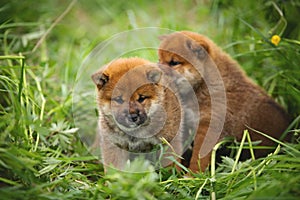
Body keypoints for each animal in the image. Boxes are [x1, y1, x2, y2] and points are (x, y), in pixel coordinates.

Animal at [158, 30, 292, 172]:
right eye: (159, 59)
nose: (156, 71)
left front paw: (192, 175)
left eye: (174, 62)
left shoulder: (209, 128)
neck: (204, 85)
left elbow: (198, 159)